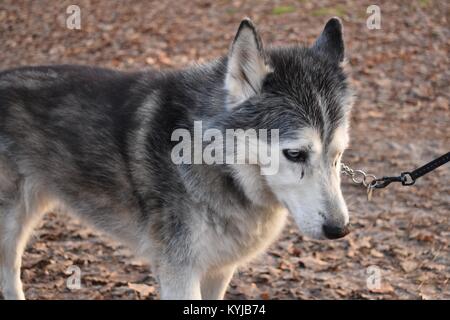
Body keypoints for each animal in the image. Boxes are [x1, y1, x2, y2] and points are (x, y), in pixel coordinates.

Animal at [0, 17, 356, 298]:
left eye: (337, 155)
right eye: (295, 154)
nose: (339, 229)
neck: (216, 164)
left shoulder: (218, 270)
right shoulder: (178, 273)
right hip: (10, 226)